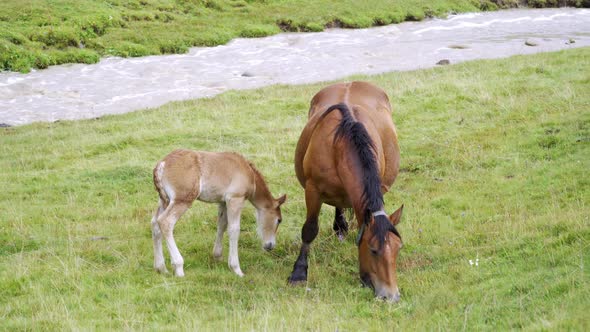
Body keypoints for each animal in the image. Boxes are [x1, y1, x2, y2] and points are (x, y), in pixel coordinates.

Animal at [150, 149, 284, 276]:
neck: (249, 174)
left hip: (165, 200)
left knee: (155, 223)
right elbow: (234, 230)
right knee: (165, 222)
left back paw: (161, 268)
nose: (270, 245)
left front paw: (218, 256)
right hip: (182, 200)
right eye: (279, 220)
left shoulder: (223, 202)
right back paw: (178, 267)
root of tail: (162, 164)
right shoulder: (235, 199)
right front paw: (236, 269)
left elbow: (222, 225)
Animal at [288, 81, 408, 302]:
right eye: (373, 250)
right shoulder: (312, 190)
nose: (391, 296)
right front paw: (299, 272)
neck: (340, 143)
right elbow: (309, 229)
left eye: (398, 249)